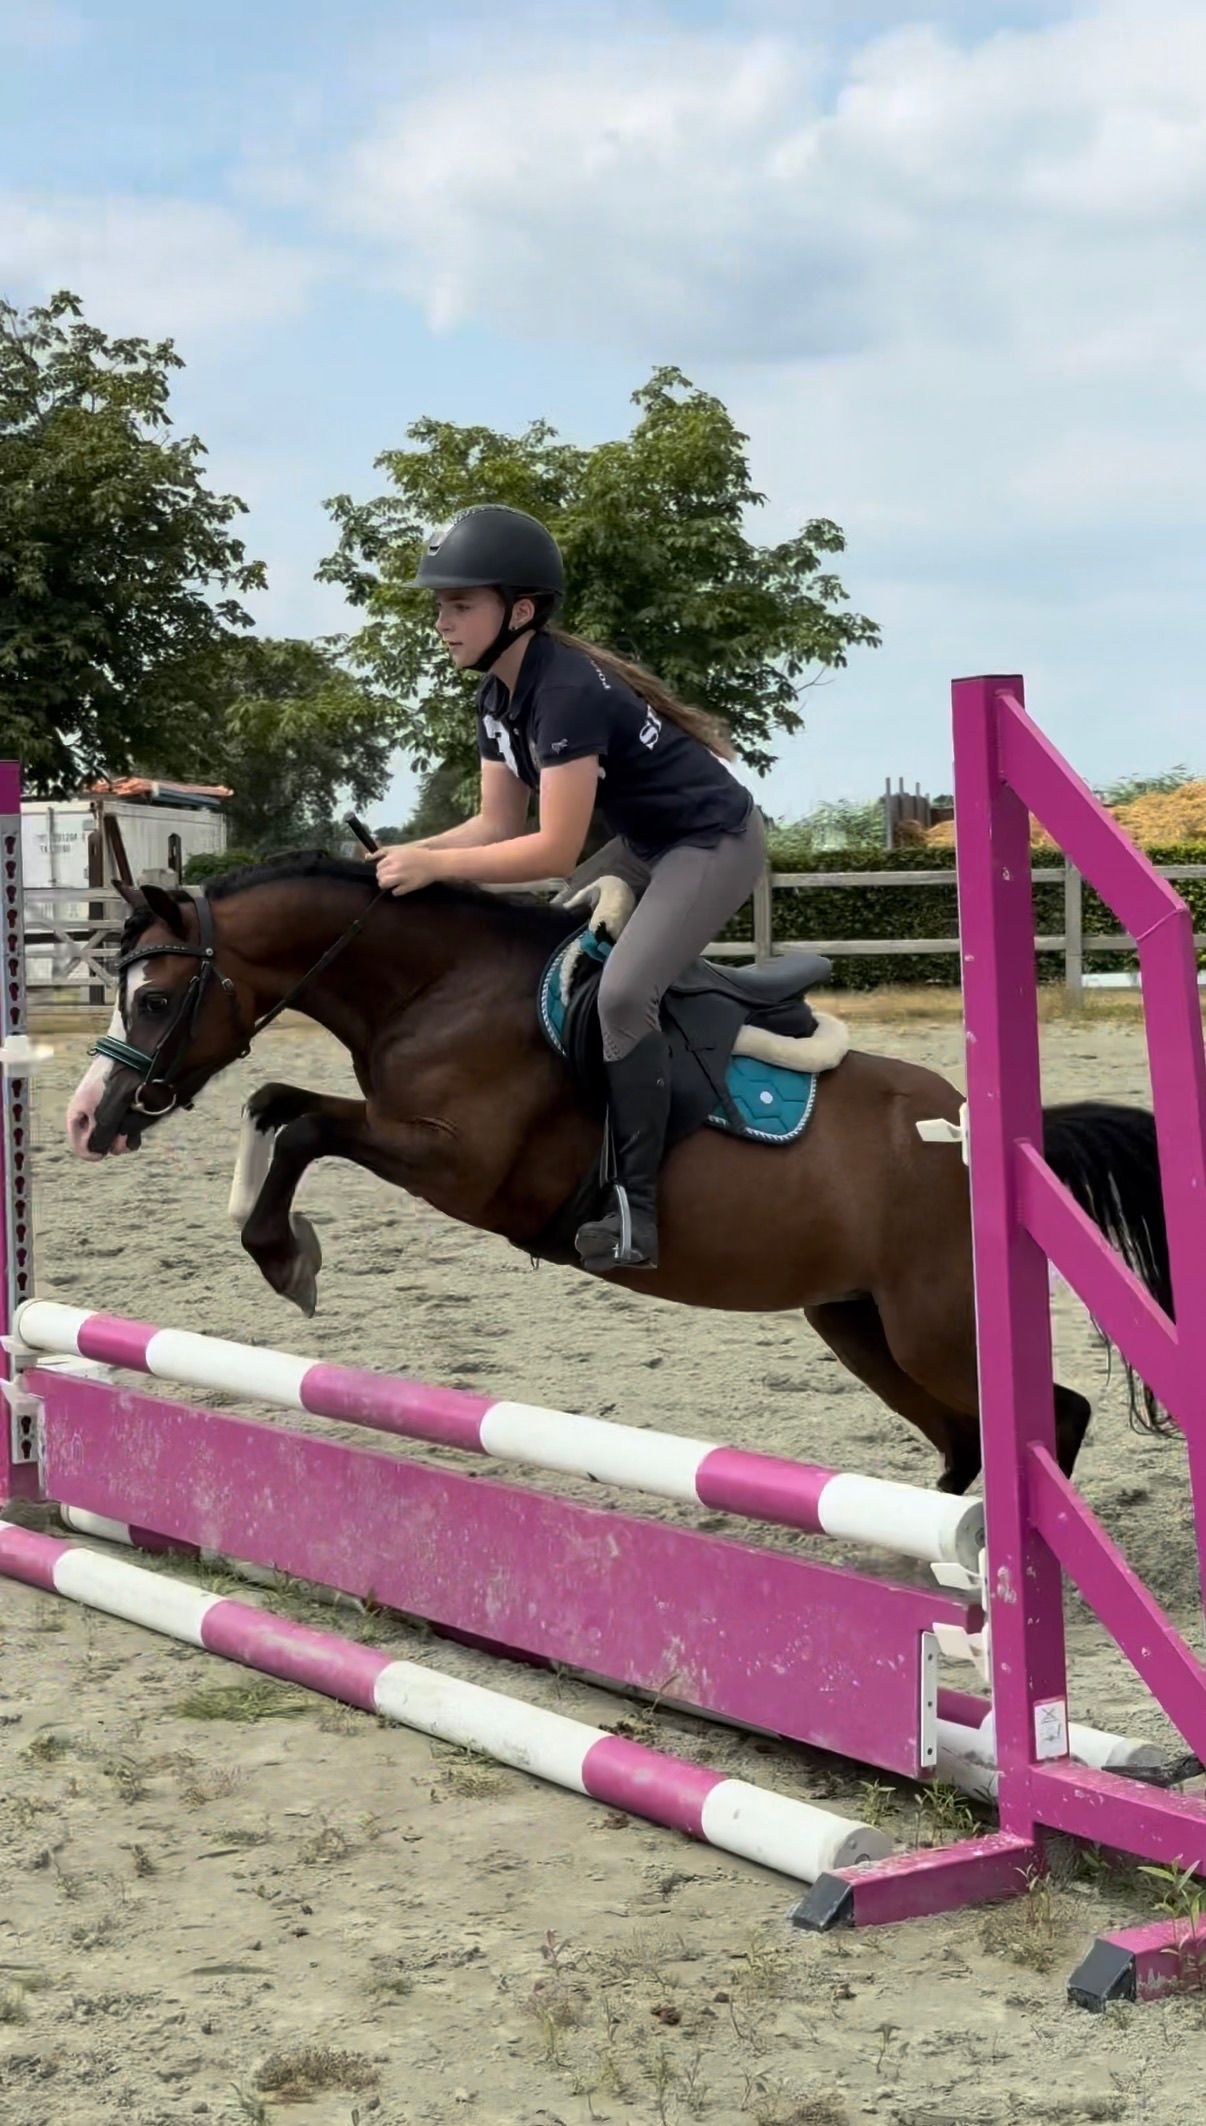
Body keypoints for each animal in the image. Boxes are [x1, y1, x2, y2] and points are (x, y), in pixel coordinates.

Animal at [65, 855, 1172, 1497]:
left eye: (155, 999)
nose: (88, 1118)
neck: (440, 985)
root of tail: (982, 1133)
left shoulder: (454, 1164)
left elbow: (300, 1124)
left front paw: (284, 1255)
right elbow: (275, 1103)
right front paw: (273, 1237)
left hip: (934, 1323)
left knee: (1049, 1418)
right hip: (858, 1323)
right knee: (964, 1441)